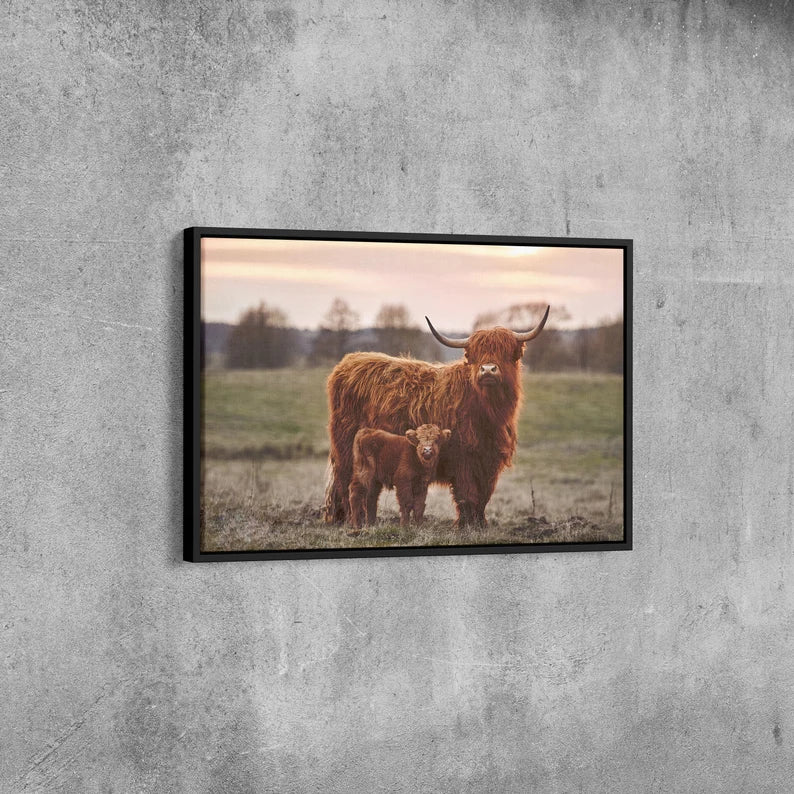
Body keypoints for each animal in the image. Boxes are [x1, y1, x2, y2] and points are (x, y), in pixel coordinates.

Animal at [324, 306, 549, 527]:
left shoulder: (489, 461)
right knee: (346, 482)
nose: (487, 370)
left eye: (506, 352)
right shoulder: (463, 458)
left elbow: (484, 495)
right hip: (346, 449)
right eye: (475, 354)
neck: (488, 412)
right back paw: (349, 520)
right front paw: (466, 526)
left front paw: (481, 523)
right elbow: (468, 493)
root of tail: (349, 361)